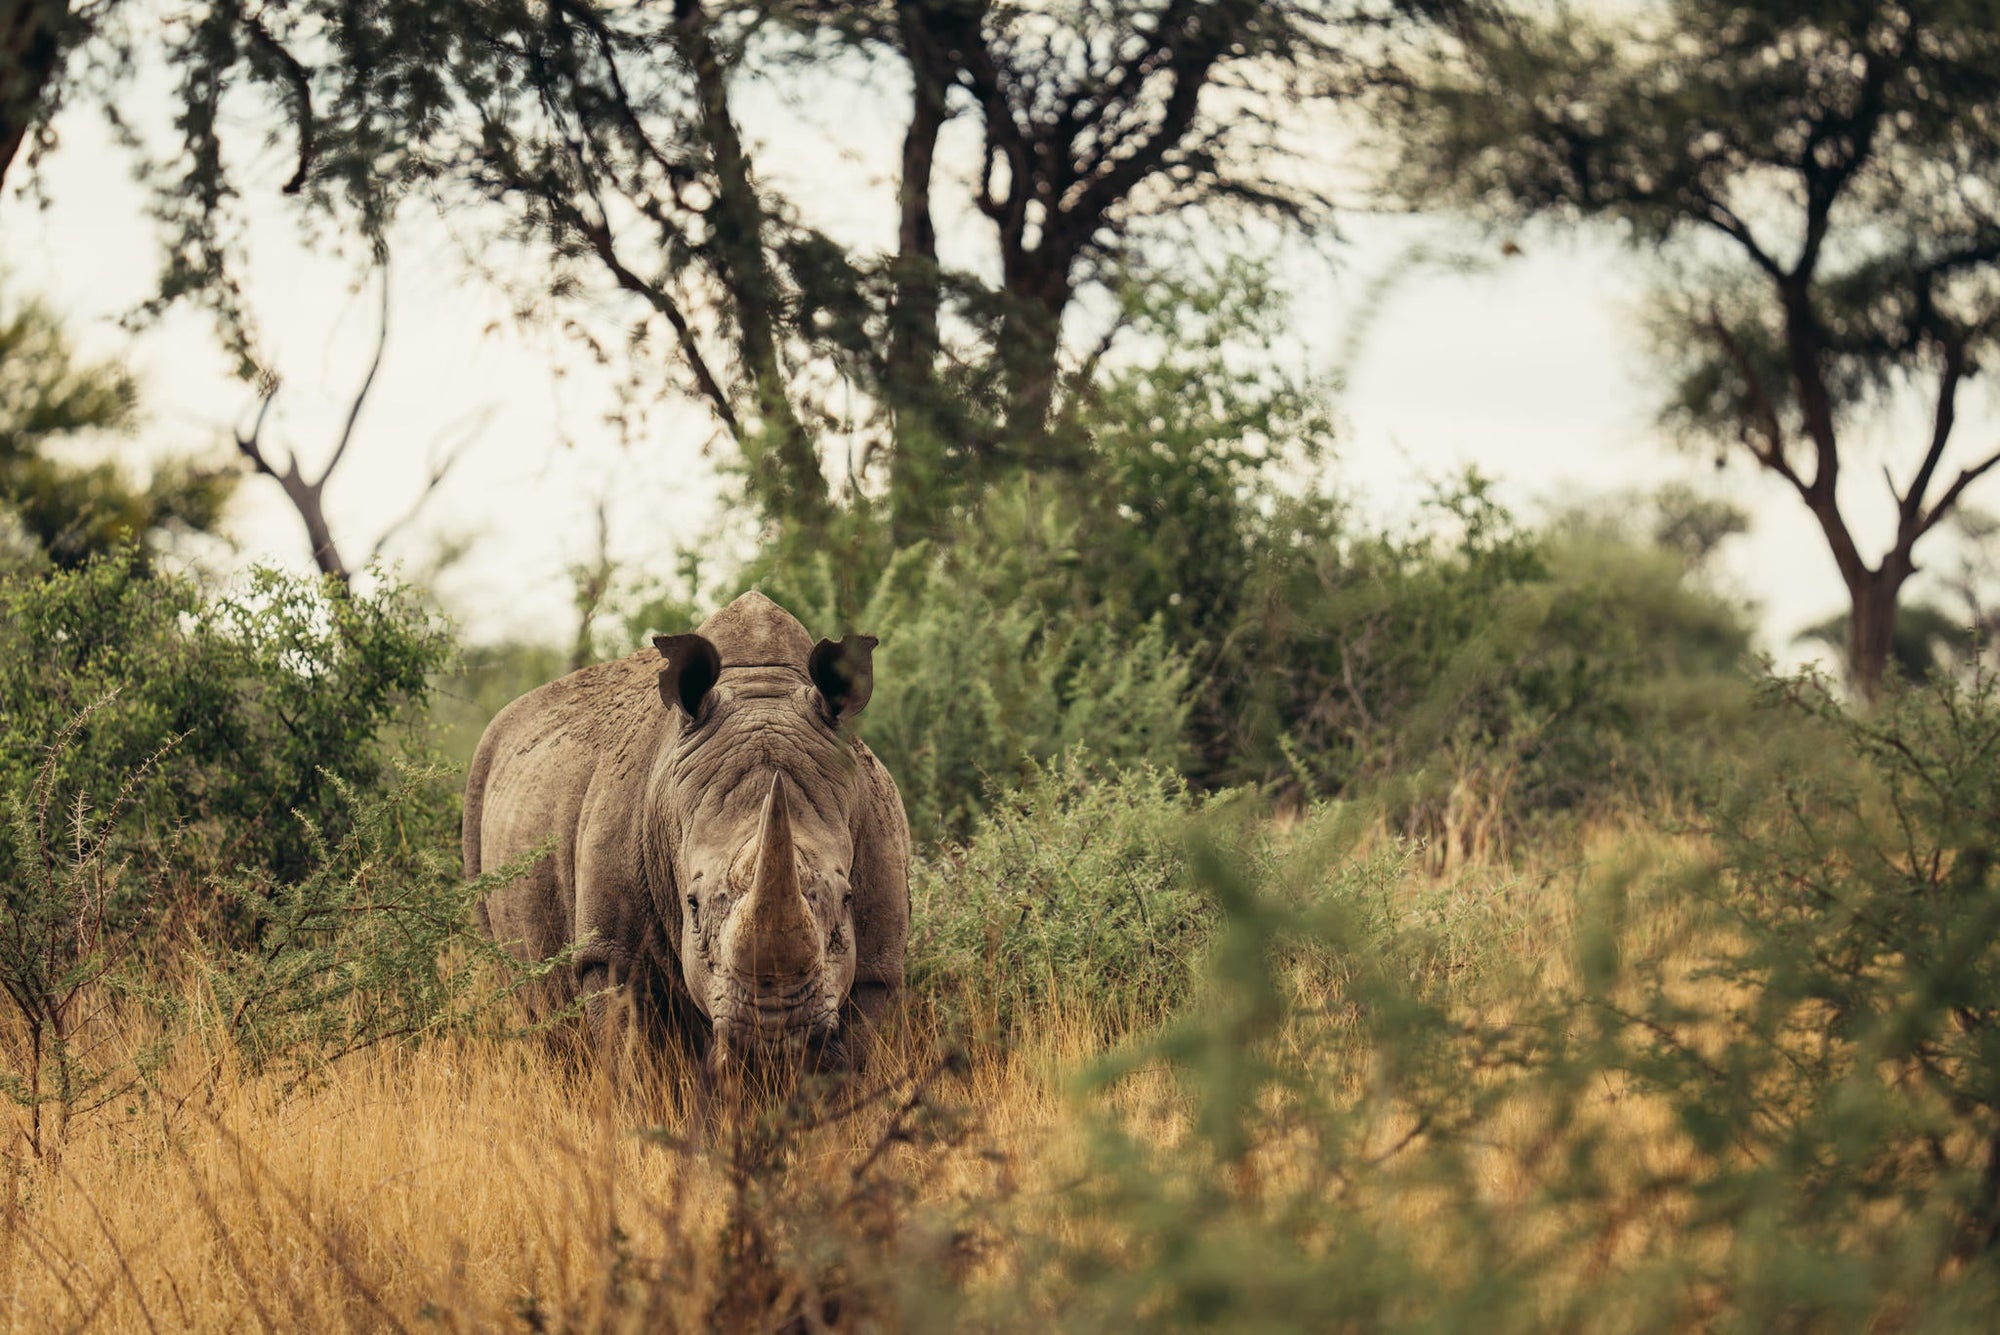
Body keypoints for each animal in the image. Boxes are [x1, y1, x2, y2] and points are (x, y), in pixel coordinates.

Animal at [463, 591, 909, 1069]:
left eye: (847, 898)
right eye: (691, 903)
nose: (772, 1033)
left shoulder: (878, 964)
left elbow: (857, 1049)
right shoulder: (608, 955)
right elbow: (637, 1060)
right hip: (481, 784)